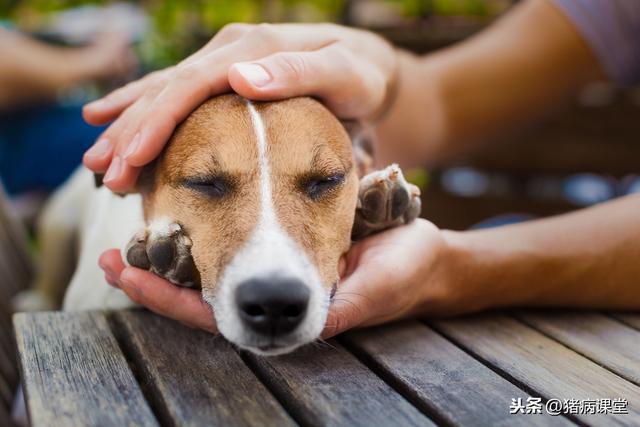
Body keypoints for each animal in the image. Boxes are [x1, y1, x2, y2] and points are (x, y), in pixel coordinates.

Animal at [16, 94, 420, 358]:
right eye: (204, 183)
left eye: (327, 180)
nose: (274, 302)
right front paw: (166, 257)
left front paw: (375, 208)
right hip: (60, 221)